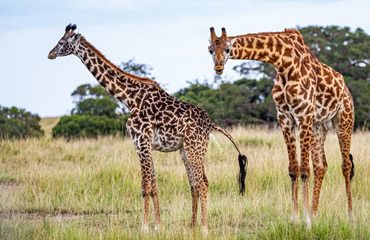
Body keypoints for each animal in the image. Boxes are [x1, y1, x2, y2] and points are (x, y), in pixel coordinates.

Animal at [47, 23, 247, 234]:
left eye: (61, 42)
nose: (50, 54)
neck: (129, 99)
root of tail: (210, 123)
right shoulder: (145, 146)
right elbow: (154, 186)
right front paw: (158, 226)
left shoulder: (141, 143)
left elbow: (145, 187)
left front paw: (144, 227)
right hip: (185, 150)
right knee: (194, 184)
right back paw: (191, 226)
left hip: (195, 148)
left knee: (203, 183)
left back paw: (204, 229)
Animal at [208, 27, 356, 226]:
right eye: (210, 50)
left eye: (227, 49)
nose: (218, 68)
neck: (284, 63)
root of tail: (346, 88)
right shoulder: (285, 118)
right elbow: (293, 169)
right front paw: (296, 219)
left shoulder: (303, 115)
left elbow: (304, 170)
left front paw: (306, 222)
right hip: (319, 127)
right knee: (321, 166)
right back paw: (316, 216)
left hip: (344, 120)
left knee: (345, 164)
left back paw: (350, 218)